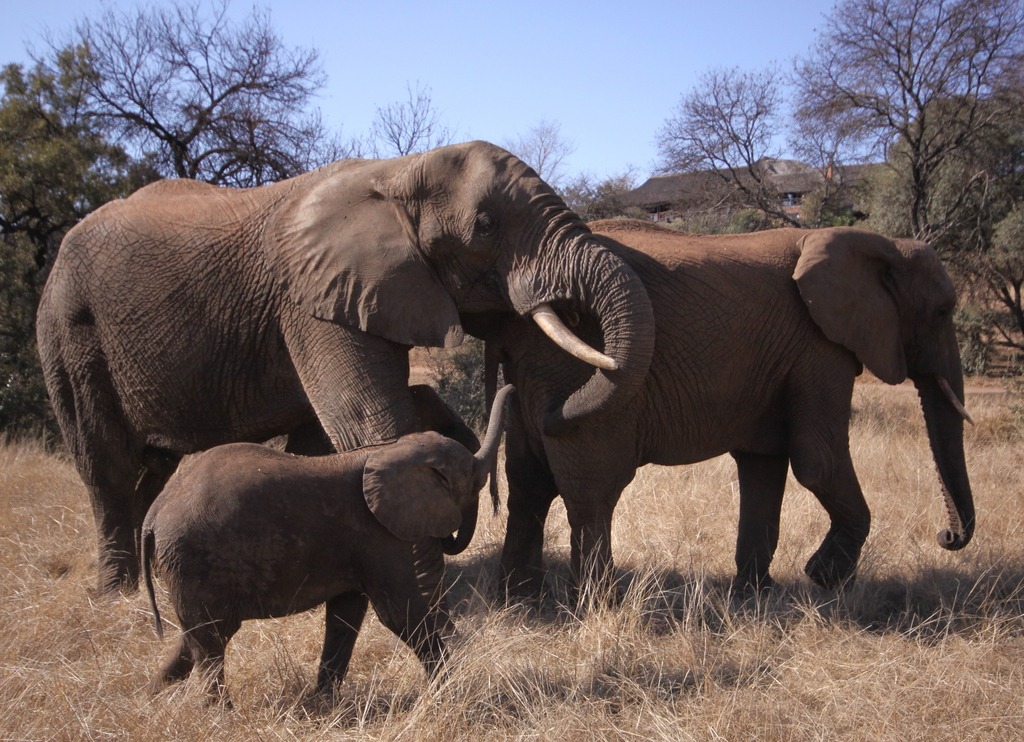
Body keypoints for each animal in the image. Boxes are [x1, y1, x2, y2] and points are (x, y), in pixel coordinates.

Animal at [37, 142, 655, 593]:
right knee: (106, 465)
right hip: (70, 333)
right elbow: (368, 421)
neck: (399, 171)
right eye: (484, 225)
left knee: (153, 467)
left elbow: (318, 443)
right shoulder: (312, 300)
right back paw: (117, 593)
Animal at [142, 384, 512, 704]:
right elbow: (399, 611)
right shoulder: (376, 533)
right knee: (209, 641)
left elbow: (346, 615)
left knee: (196, 639)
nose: (509, 388)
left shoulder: (357, 540)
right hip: (193, 559)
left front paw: (322, 702)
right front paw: (454, 690)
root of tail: (154, 514)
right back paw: (220, 713)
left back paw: (153, 695)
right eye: (475, 480)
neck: (386, 449)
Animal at [479, 219, 974, 597]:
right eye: (944, 311)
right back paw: (594, 606)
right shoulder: (819, 349)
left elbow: (764, 464)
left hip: (538, 366)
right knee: (591, 488)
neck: (877, 242)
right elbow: (819, 461)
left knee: (529, 485)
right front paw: (824, 578)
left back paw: (520, 600)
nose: (946, 536)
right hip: (571, 360)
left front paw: (758, 594)